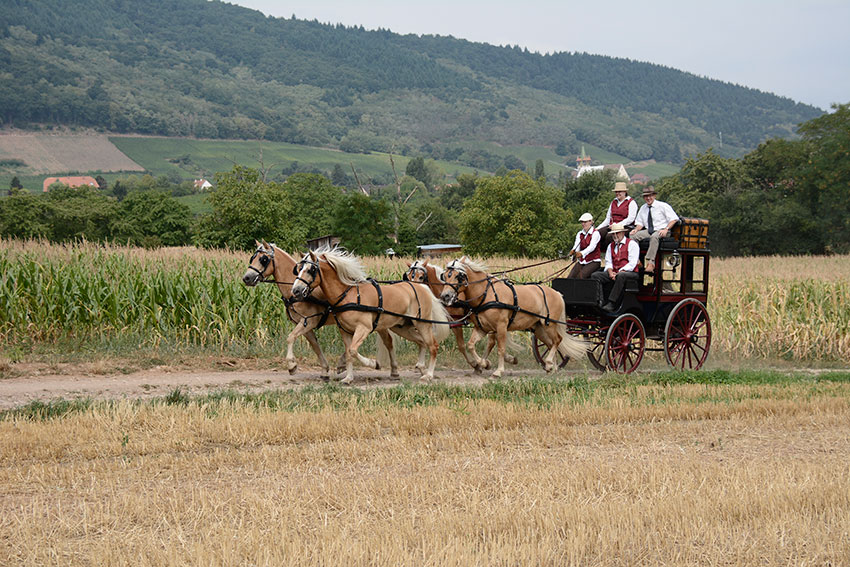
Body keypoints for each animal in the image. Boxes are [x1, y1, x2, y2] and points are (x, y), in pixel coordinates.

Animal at [238, 240, 342, 378]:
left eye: (263, 259)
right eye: (252, 258)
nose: (246, 278)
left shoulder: (309, 321)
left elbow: (290, 337)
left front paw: (292, 365)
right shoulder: (304, 325)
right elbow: (315, 345)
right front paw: (325, 369)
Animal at [292, 250, 450, 386]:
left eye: (310, 270)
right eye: (298, 268)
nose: (296, 290)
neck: (348, 295)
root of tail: (422, 288)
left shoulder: (364, 328)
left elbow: (353, 351)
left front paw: (374, 363)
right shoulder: (345, 331)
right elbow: (349, 353)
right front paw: (348, 378)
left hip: (422, 324)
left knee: (433, 346)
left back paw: (428, 375)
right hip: (402, 327)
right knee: (422, 343)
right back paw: (421, 368)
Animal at [438, 256, 584, 378]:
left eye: (458, 276)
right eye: (444, 276)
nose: (445, 296)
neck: (486, 295)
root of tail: (557, 293)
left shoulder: (501, 326)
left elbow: (500, 349)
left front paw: (498, 371)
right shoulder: (482, 328)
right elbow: (470, 345)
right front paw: (484, 363)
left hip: (549, 324)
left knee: (557, 340)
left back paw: (549, 363)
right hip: (539, 328)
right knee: (550, 343)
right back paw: (552, 368)